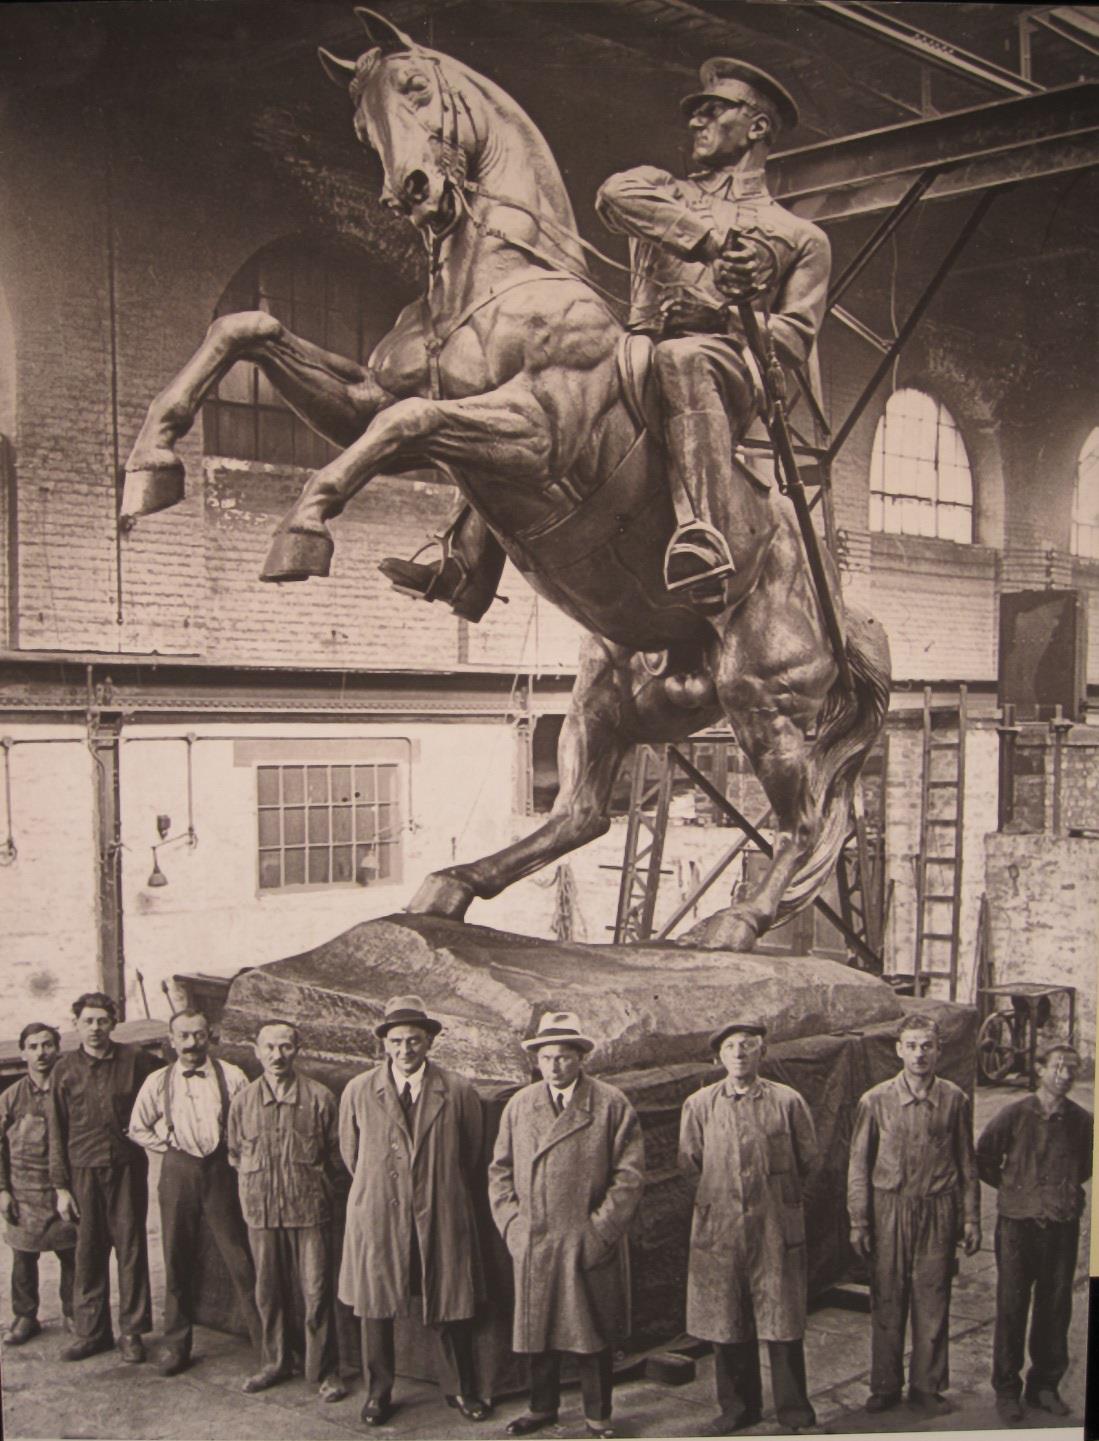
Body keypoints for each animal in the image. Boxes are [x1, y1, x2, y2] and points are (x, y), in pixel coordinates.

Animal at [122, 11, 893, 956]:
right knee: (585, 812)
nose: (413, 191)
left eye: (416, 89)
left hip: (764, 698)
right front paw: (149, 466)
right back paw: (453, 882)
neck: (491, 280)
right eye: (359, 122)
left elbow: (404, 423)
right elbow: (250, 328)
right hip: (622, 695)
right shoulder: (371, 397)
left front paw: (300, 529)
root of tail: (844, 618)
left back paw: (731, 921)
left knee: (810, 819)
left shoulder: (534, 434)